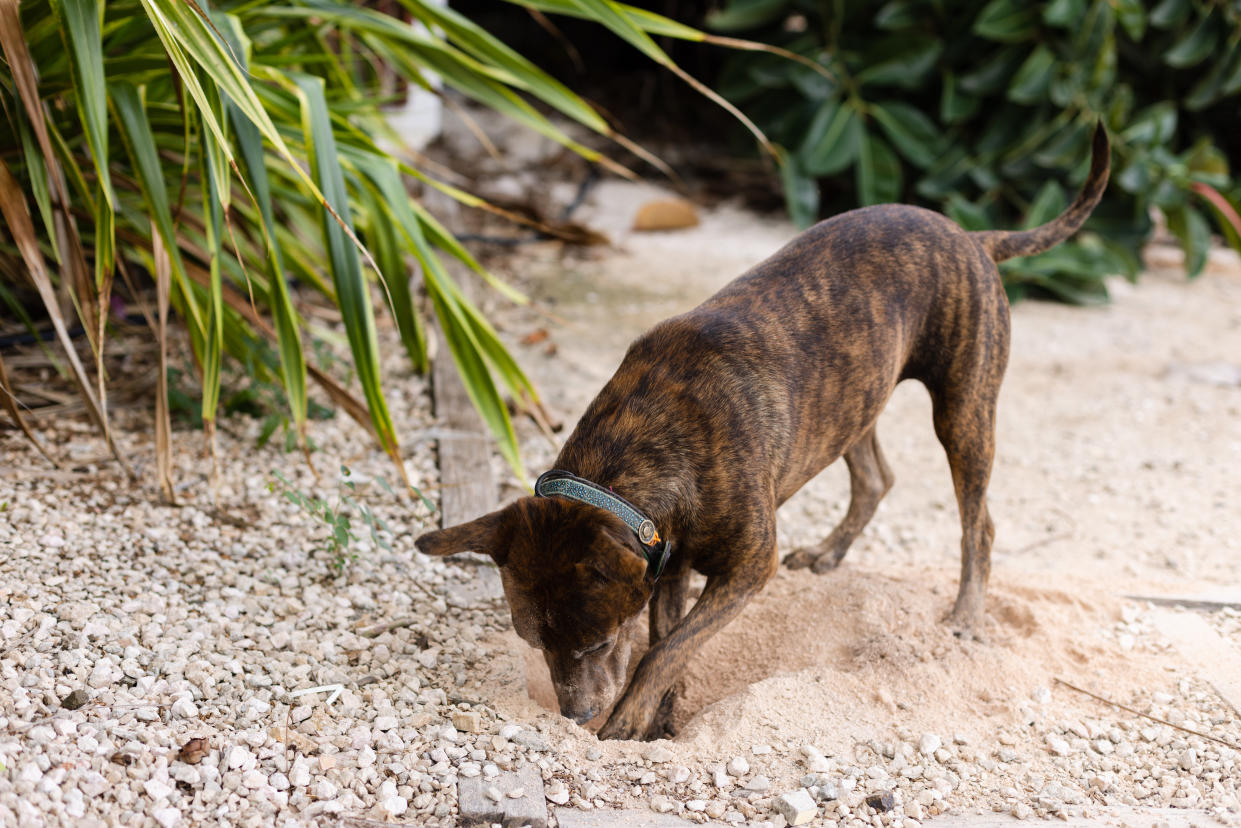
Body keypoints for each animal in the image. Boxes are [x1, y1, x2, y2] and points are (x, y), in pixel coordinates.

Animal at [416, 122, 1116, 739]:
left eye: (598, 642)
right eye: (532, 641)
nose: (575, 717)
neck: (638, 446)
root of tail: (971, 235)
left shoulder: (750, 565)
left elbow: (663, 650)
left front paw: (630, 720)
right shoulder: (668, 563)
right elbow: (669, 641)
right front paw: (660, 721)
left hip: (964, 409)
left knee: (979, 521)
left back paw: (967, 614)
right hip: (851, 399)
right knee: (876, 476)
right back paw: (832, 552)